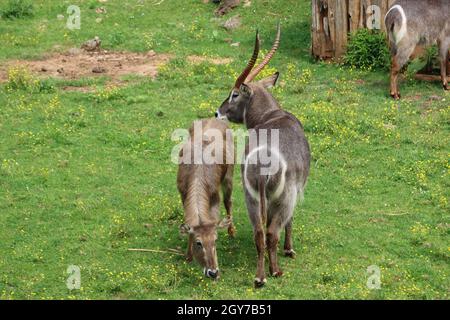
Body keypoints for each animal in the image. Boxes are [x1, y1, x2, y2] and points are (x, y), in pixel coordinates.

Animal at [178, 118, 237, 280]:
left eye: (215, 240)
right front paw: (188, 256)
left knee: (229, 201)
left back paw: (231, 231)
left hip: (229, 175)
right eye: (198, 243)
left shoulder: (215, 198)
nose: (213, 272)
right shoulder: (182, 195)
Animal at [216, 23, 312, 286]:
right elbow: (290, 221)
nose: (218, 112)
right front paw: (289, 249)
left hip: (251, 198)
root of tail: (262, 166)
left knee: (259, 232)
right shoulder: (296, 192)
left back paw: (260, 277)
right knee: (271, 232)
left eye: (234, 94)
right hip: (282, 198)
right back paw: (274, 271)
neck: (271, 115)